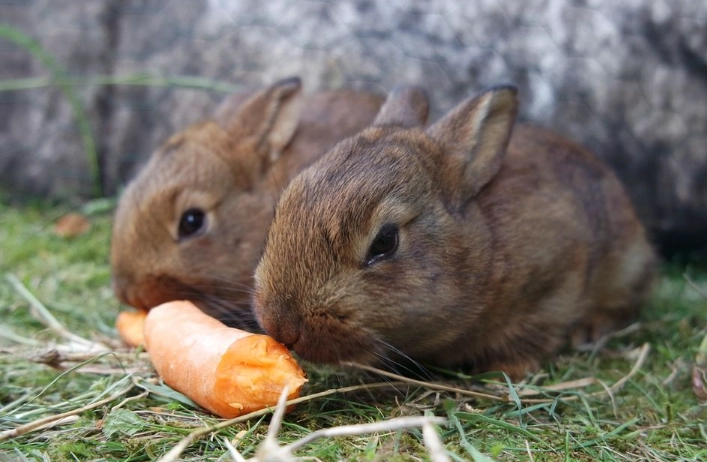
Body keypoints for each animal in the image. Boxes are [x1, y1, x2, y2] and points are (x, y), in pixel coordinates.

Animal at [252, 85, 656, 378]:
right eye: (283, 205)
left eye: (385, 241)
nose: (280, 326)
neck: (480, 247)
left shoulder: (557, 279)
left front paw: (506, 370)